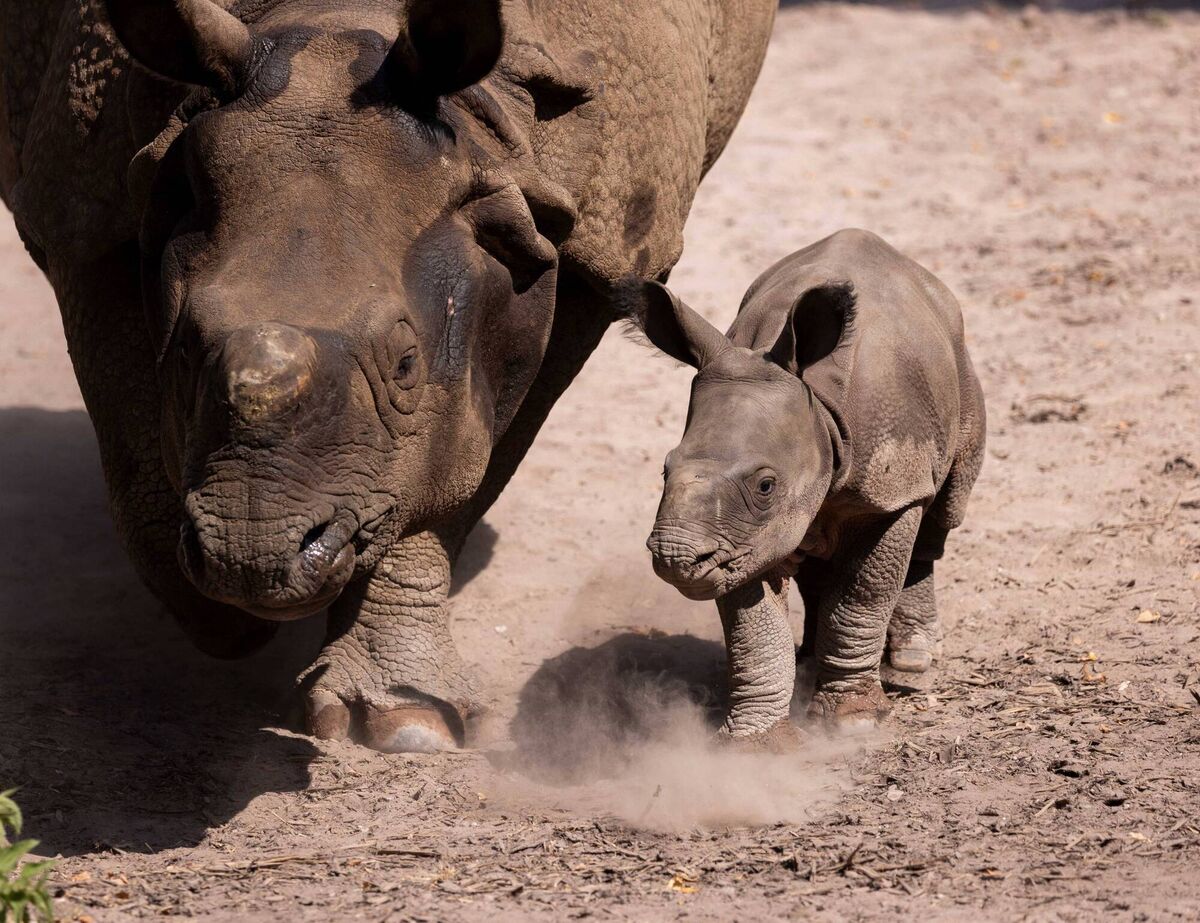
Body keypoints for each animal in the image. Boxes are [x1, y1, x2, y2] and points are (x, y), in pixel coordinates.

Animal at [0, 0, 776, 751]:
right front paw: (223, 616)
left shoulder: (589, 247)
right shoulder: (88, 218)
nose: (253, 555)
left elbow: (450, 472)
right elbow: (136, 448)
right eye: (186, 349)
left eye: (406, 365)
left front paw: (407, 720)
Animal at [621, 229, 986, 745]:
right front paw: (754, 746)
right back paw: (811, 662)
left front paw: (852, 723)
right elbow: (753, 629)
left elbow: (862, 597)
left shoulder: (889, 492)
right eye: (664, 470)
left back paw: (912, 663)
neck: (819, 409)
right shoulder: (740, 539)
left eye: (765, 484)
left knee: (945, 508)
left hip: (958, 367)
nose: (676, 559)